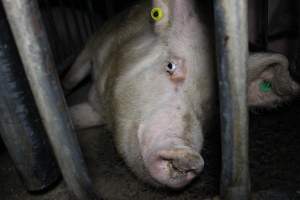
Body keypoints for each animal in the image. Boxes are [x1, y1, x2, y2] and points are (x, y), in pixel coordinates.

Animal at [62, 0, 298, 189]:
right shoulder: (95, 43)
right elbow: (74, 77)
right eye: (170, 66)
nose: (186, 156)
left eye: (216, 102)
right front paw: (62, 90)